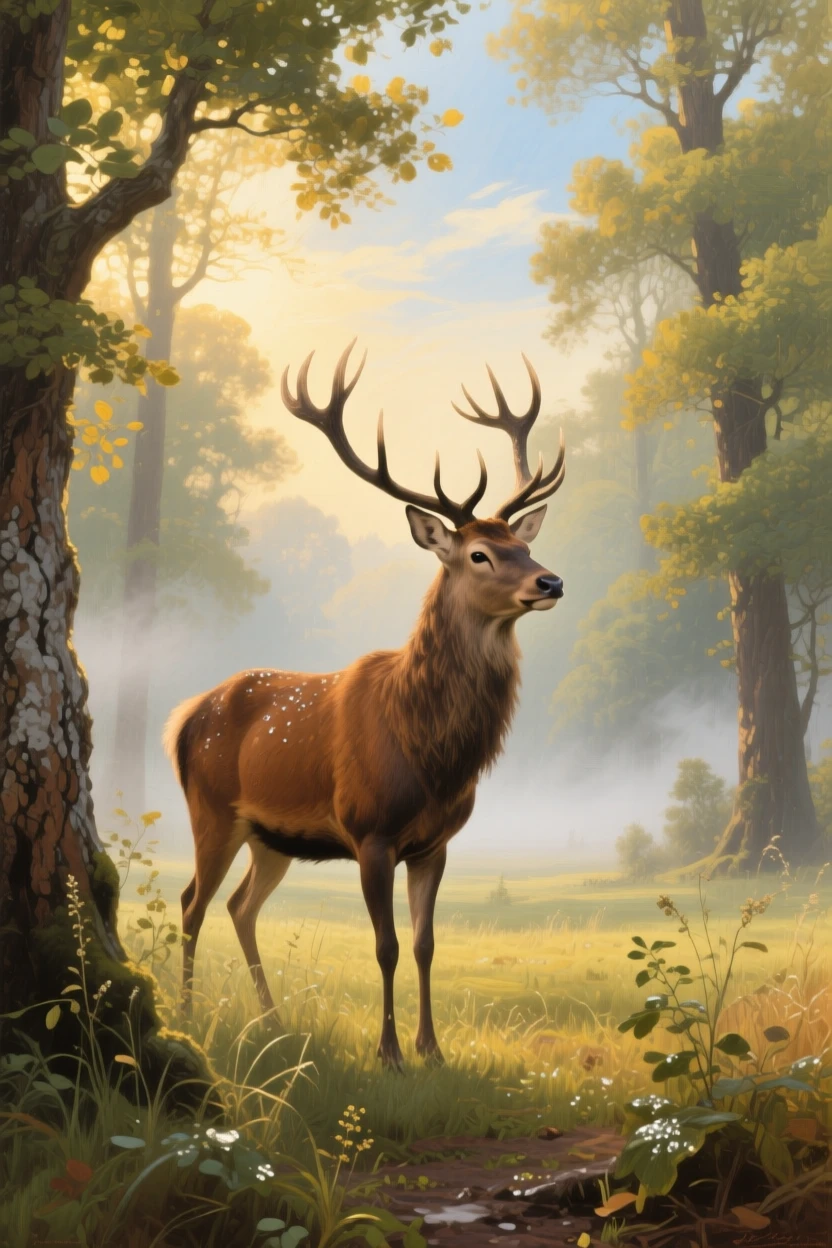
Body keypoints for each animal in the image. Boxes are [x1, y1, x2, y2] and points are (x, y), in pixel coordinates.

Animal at [163, 342, 565, 1069]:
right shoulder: (369, 830)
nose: (551, 581)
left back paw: (272, 1021)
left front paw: (433, 1049)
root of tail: (182, 718)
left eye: (525, 544)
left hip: (271, 837)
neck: (430, 753)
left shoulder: (435, 842)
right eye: (480, 554)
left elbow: (427, 944)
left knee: (240, 906)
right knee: (191, 902)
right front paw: (389, 1054)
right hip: (211, 809)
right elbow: (385, 946)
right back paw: (184, 1016)